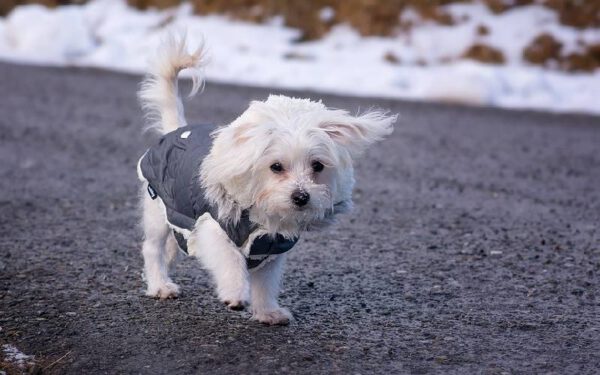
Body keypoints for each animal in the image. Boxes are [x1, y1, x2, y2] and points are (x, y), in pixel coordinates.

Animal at [138, 36, 396, 326]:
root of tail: (176, 130)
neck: (264, 218)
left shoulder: (270, 250)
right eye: (276, 167)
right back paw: (159, 284)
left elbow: (265, 284)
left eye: (317, 166)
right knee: (152, 249)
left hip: (176, 215)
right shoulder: (213, 228)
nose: (301, 196)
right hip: (156, 209)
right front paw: (235, 293)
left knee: (172, 246)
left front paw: (267, 312)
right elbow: (230, 260)